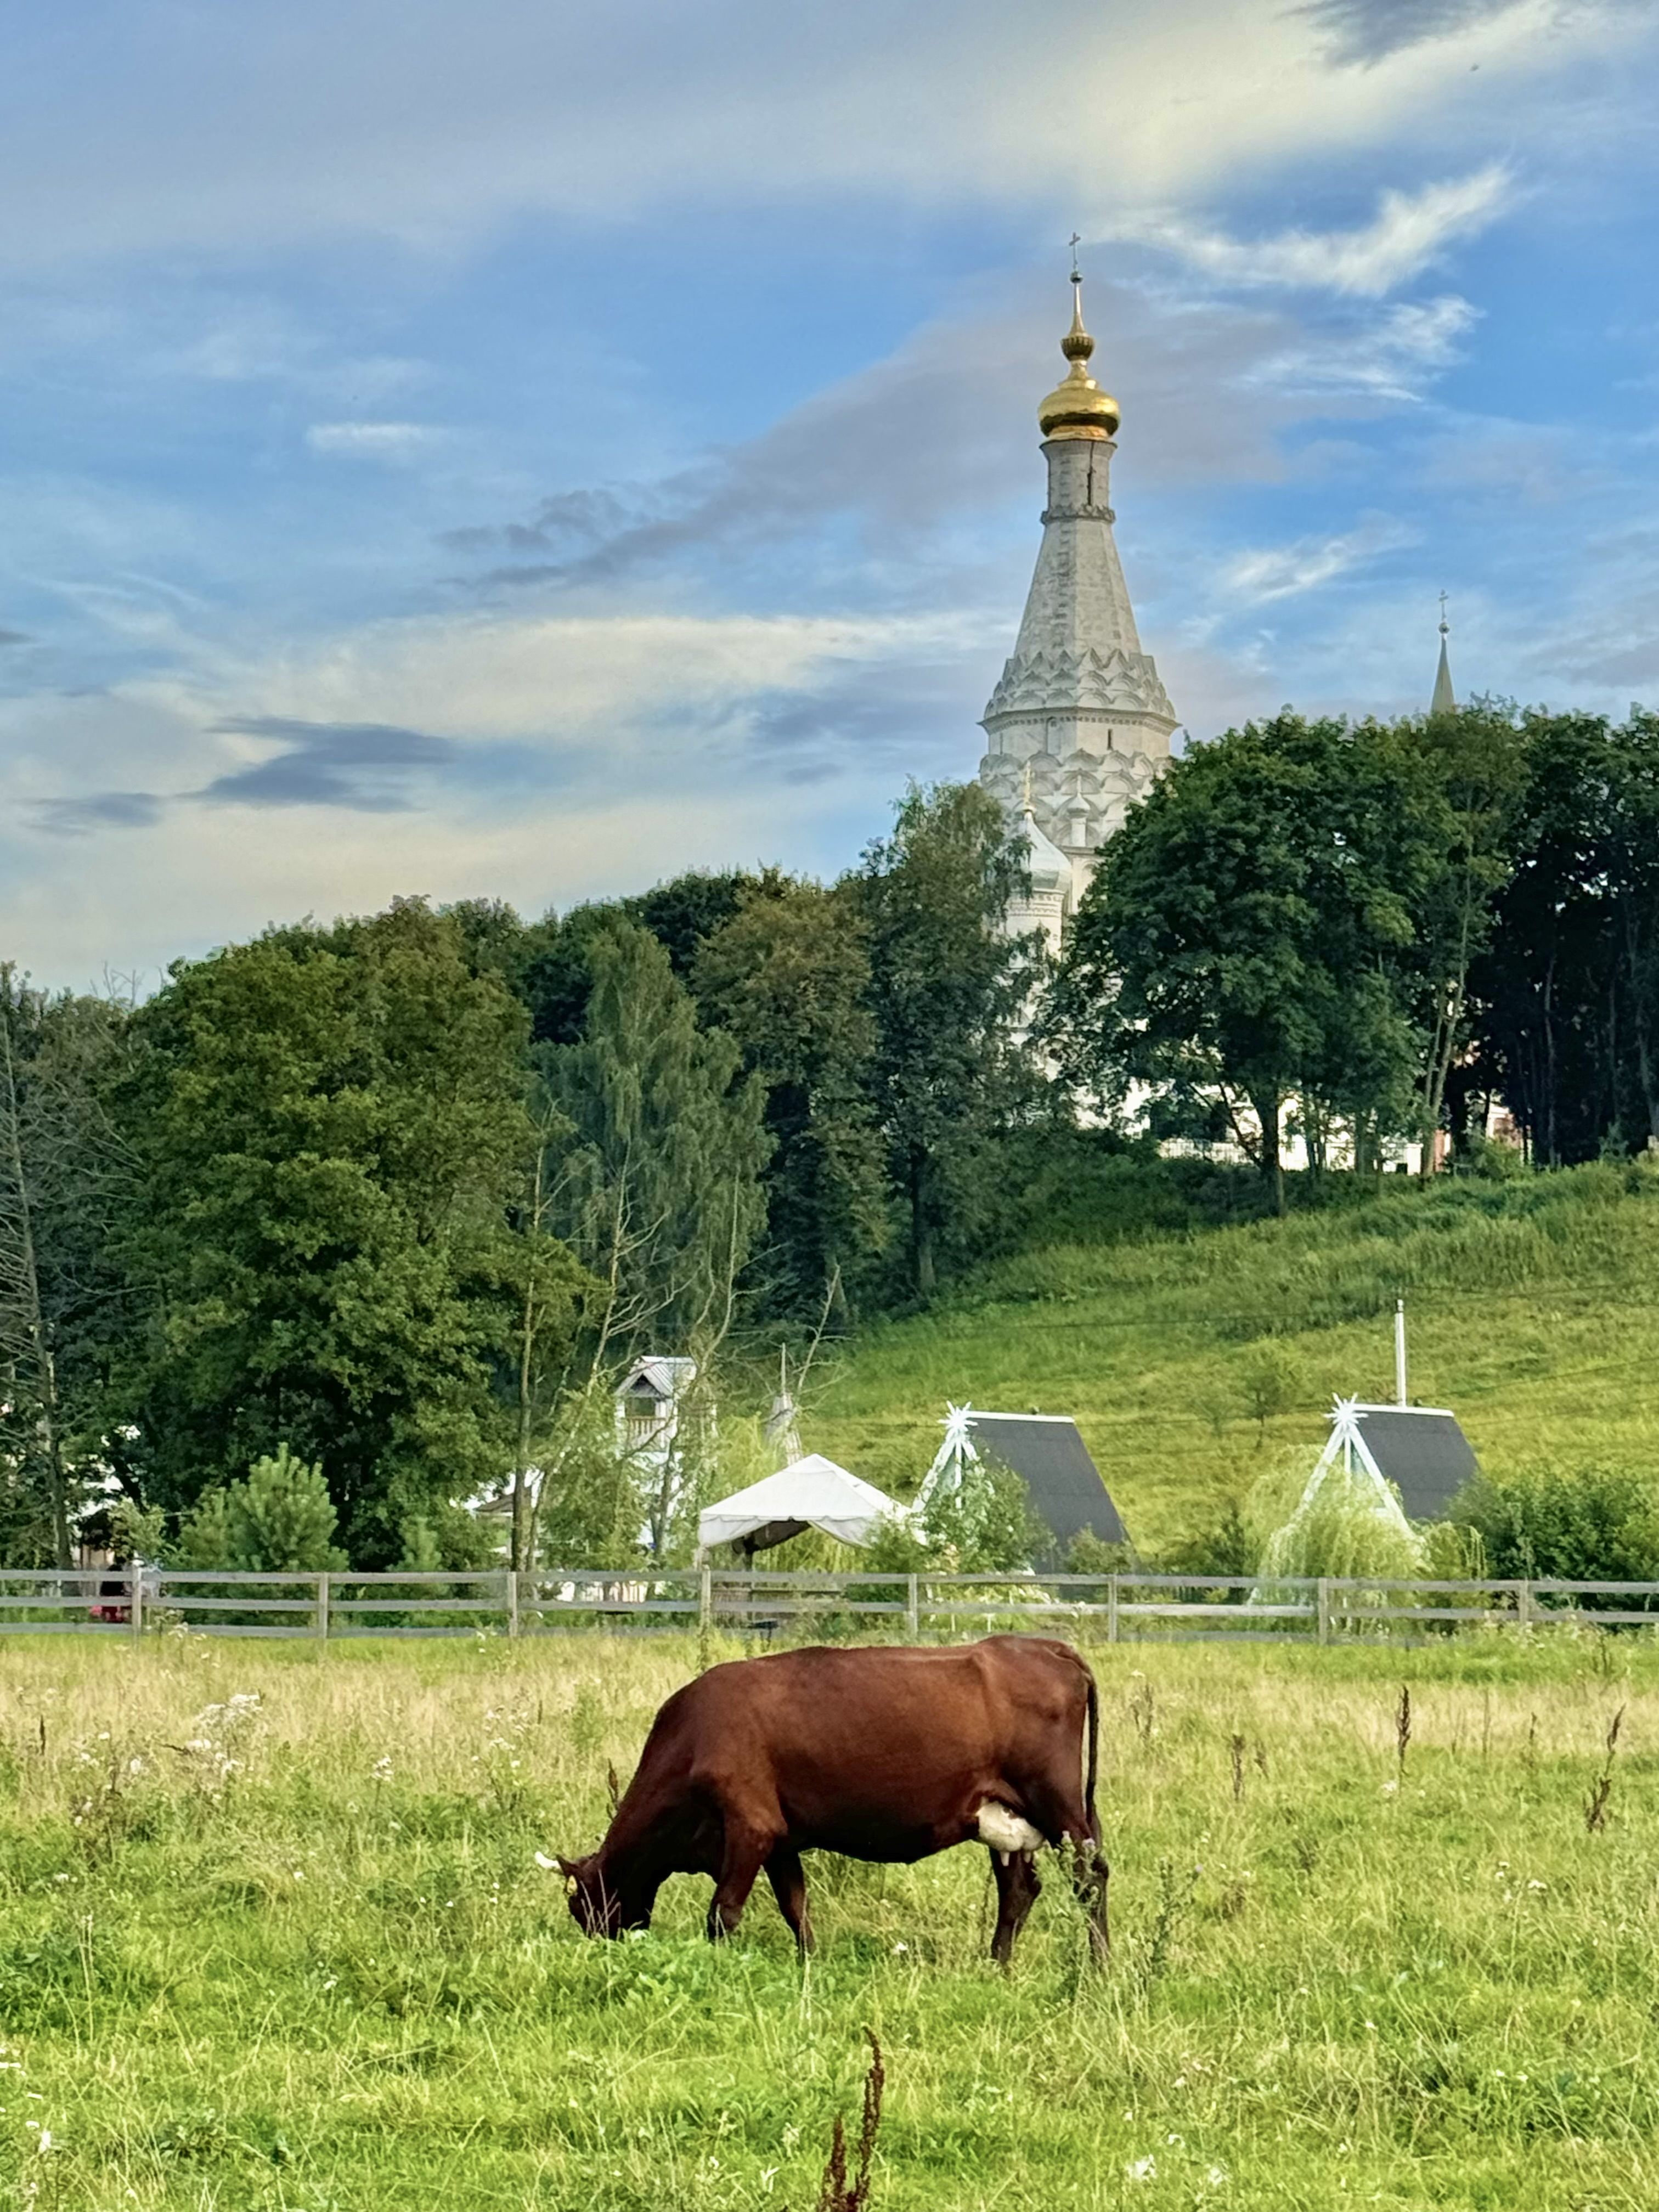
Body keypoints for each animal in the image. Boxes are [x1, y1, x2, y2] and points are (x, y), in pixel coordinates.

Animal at [553, 1637, 1110, 1964]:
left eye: (584, 1906)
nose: (602, 1949)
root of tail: (1043, 1644)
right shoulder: (779, 1837)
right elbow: (795, 1905)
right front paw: (810, 1962)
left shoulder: (749, 1825)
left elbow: (723, 1913)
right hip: (1006, 1817)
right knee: (1019, 1889)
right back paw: (996, 1963)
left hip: (1057, 1803)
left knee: (1091, 1876)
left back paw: (1098, 1965)